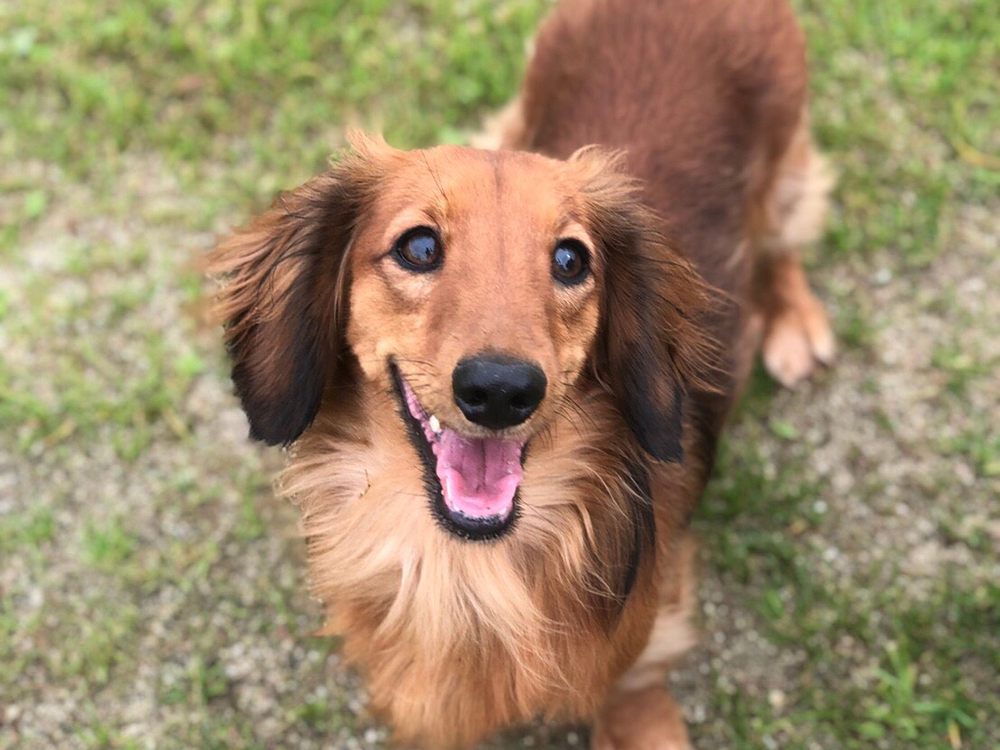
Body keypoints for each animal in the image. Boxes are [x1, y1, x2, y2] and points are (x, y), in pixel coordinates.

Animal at [207, 0, 832, 748]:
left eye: (570, 260)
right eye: (419, 247)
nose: (502, 391)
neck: (465, 569)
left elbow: (633, 686)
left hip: (785, 175)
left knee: (783, 242)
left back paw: (794, 320)